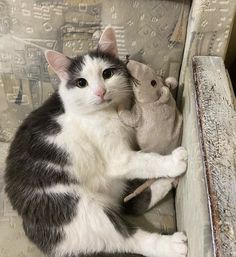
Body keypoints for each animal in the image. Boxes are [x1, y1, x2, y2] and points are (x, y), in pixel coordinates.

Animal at [4, 26, 188, 256]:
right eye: (81, 83)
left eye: (107, 74)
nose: (101, 91)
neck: (106, 112)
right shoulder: (119, 159)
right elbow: (146, 159)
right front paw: (172, 162)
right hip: (80, 209)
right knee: (127, 237)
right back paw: (170, 245)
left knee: (131, 205)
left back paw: (165, 183)